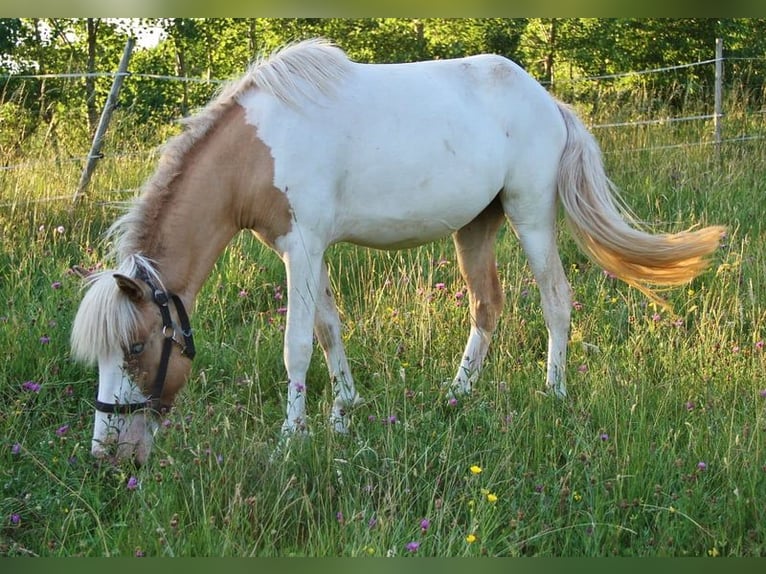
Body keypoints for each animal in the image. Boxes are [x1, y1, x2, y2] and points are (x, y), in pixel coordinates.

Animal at [71, 39, 724, 465]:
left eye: (135, 348)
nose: (107, 455)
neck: (257, 149)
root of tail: (549, 102)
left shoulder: (301, 247)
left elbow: (297, 345)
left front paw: (291, 438)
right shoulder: (306, 250)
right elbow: (330, 329)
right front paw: (343, 413)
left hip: (532, 216)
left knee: (556, 300)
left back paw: (553, 394)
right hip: (475, 228)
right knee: (487, 306)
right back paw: (456, 396)